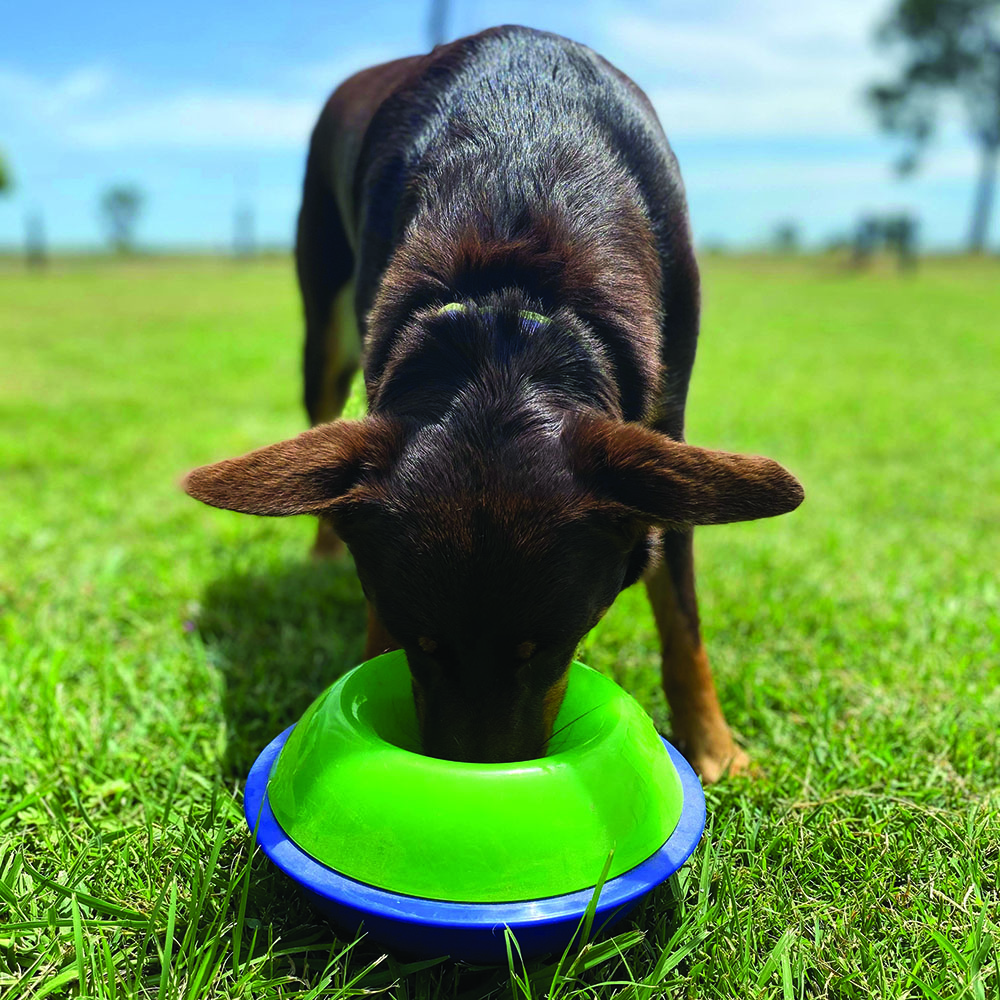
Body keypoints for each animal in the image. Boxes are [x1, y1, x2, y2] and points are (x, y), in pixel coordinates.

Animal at [182, 25, 804, 780]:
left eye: (553, 646)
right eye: (423, 644)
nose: (475, 773)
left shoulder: (667, 439)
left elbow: (682, 617)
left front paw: (715, 750)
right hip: (323, 330)